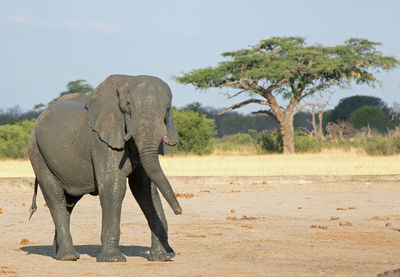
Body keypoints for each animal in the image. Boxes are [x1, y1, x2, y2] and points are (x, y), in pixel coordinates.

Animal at [28, 74, 182, 262]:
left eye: (167, 109)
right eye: (128, 105)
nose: (179, 211)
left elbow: (146, 190)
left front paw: (163, 257)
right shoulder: (102, 141)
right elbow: (114, 187)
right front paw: (113, 259)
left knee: (68, 203)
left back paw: (59, 255)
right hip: (37, 153)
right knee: (55, 197)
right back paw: (69, 257)